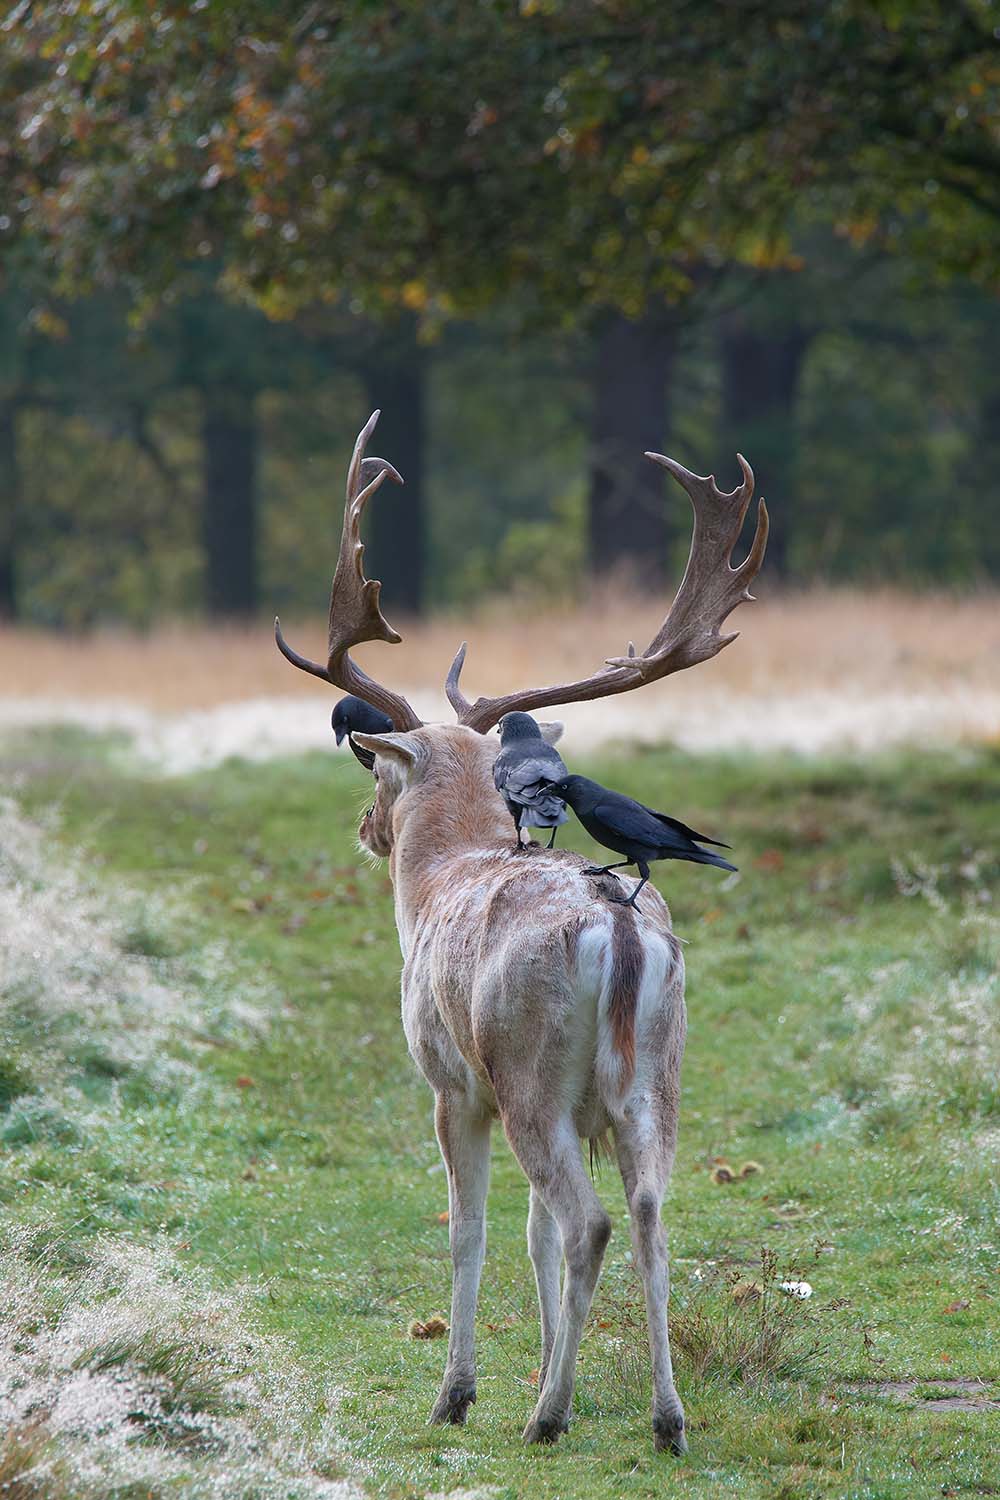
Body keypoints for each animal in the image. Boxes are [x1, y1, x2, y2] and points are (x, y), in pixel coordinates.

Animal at [274, 411, 767, 1454]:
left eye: (377, 770)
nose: (367, 828)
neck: (434, 883)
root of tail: (619, 936)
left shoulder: (453, 1081)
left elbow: (474, 1228)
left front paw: (459, 1393)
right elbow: (535, 1235)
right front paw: (546, 1361)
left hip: (528, 1068)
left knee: (589, 1221)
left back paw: (545, 1417)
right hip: (655, 1079)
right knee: (650, 1211)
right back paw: (665, 1417)